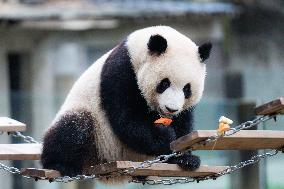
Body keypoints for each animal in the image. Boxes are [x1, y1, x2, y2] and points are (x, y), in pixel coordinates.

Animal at [41, 25, 212, 179]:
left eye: (187, 89)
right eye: (164, 83)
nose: (171, 109)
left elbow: (183, 126)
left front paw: (186, 158)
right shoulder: (121, 71)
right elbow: (126, 121)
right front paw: (165, 135)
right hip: (93, 126)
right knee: (73, 127)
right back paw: (61, 165)